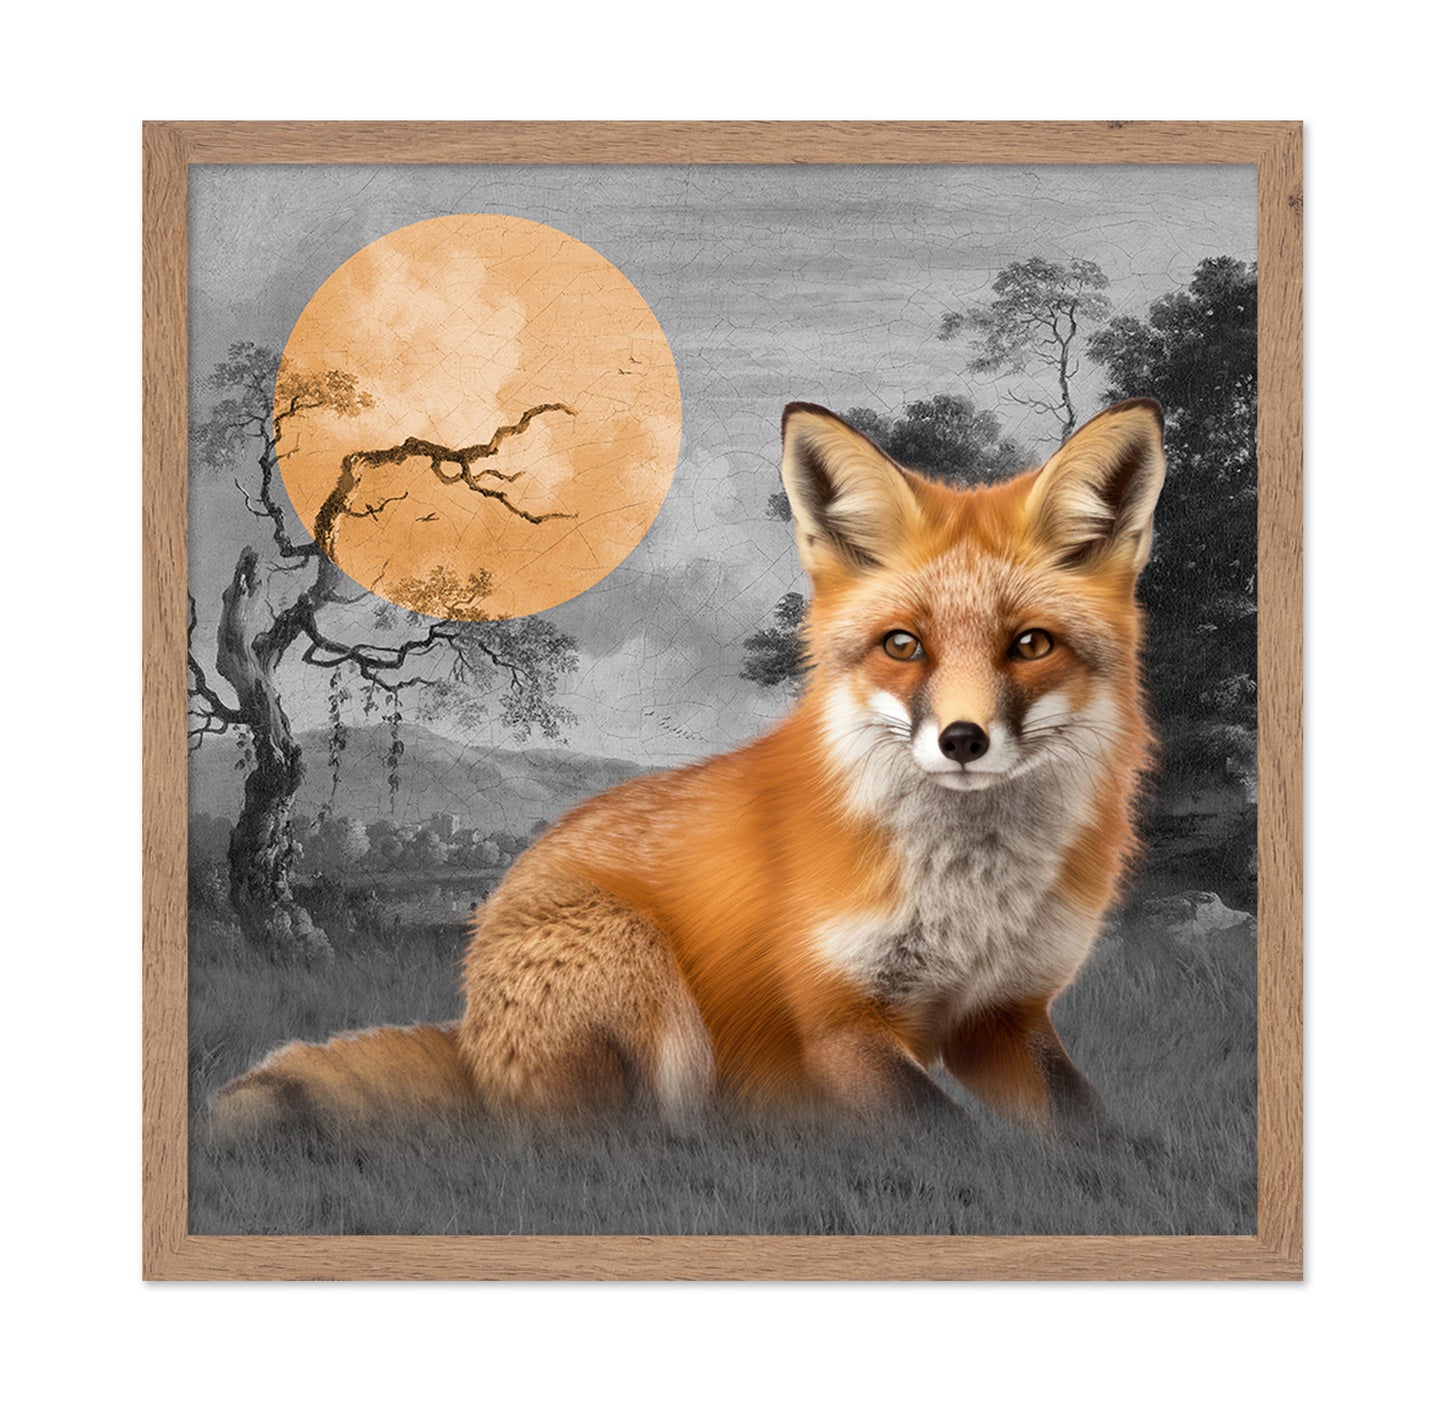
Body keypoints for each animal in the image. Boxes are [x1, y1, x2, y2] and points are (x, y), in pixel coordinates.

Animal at [211, 397, 1166, 1139]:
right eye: (903, 645)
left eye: (1030, 644)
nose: (962, 739)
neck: (970, 896)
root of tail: (472, 1040)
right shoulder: (837, 1020)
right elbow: (957, 1142)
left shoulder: (1002, 1017)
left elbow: (1094, 1131)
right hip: (638, 967)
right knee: (625, 1139)